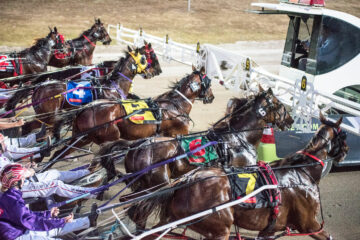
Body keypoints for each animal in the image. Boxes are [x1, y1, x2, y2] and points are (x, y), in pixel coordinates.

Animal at [48, 65, 214, 163]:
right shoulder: (177, 133)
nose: (211, 97)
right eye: (210, 82)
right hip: (104, 136)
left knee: (59, 153)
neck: (174, 106)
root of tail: (85, 108)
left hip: (82, 137)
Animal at [130, 113, 348, 239]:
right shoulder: (309, 224)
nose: (346, 150)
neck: (302, 171)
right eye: (343, 134)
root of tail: (187, 181)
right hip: (218, 229)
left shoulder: (269, 230)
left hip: (175, 216)